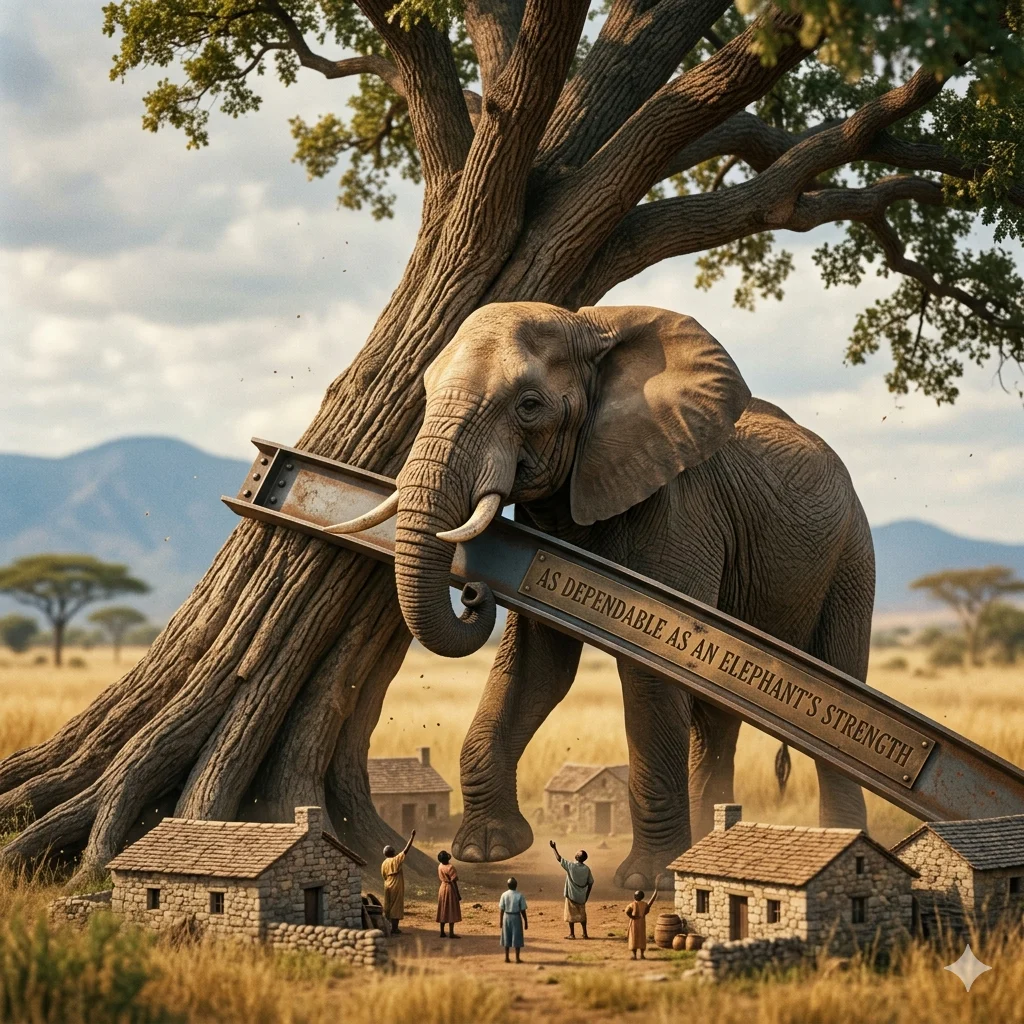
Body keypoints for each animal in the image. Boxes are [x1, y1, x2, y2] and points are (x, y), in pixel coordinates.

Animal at [333, 302, 873, 888]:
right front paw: (488, 850)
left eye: (529, 405)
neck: (590, 326)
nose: (475, 593)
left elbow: (652, 670)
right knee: (716, 719)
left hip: (851, 556)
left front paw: (650, 880)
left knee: (838, 694)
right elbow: (537, 664)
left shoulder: (679, 511)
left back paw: (838, 843)